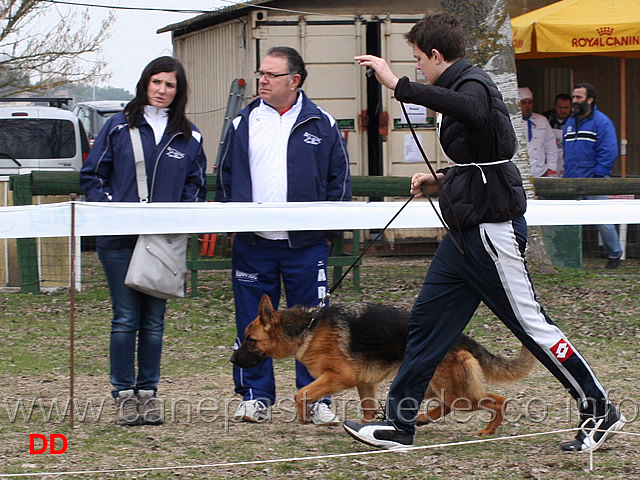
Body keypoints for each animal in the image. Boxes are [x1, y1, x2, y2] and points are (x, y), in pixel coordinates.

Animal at [230, 292, 536, 436]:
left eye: (250, 340)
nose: (232, 359)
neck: (308, 328)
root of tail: (460, 337)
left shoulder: (341, 377)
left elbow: (301, 393)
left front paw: (305, 415)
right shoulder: (365, 383)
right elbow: (367, 410)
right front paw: (366, 428)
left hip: (455, 392)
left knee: (498, 401)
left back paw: (488, 430)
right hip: (433, 386)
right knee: (451, 404)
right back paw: (424, 418)